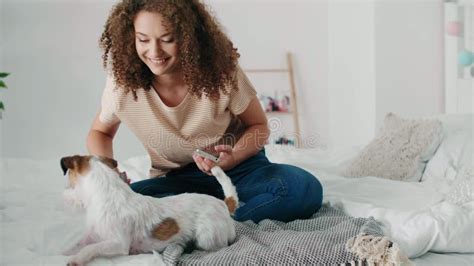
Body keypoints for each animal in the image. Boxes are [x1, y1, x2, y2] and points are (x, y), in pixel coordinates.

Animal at [61, 155, 239, 264]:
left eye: (69, 178)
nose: (62, 193)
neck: (108, 193)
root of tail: (223, 204)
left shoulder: (118, 243)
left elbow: (91, 248)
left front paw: (77, 259)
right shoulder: (92, 235)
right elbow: (77, 244)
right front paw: (64, 253)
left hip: (206, 237)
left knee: (219, 246)